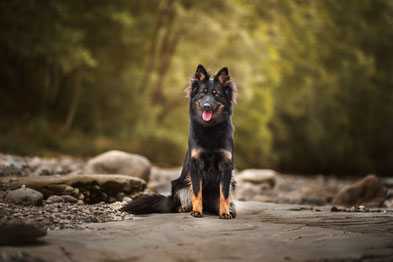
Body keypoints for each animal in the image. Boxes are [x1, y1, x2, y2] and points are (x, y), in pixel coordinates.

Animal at [122, 65, 237, 219]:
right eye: (202, 93)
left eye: (216, 94)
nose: (206, 106)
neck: (210, 129)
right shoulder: (195, 165)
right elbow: (197, 191)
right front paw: (197, 211)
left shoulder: (226, 166)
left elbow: (224, 194)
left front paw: (224, 212)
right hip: (179, 184)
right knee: (178, 202)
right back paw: (185, 207)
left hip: (231, 183)